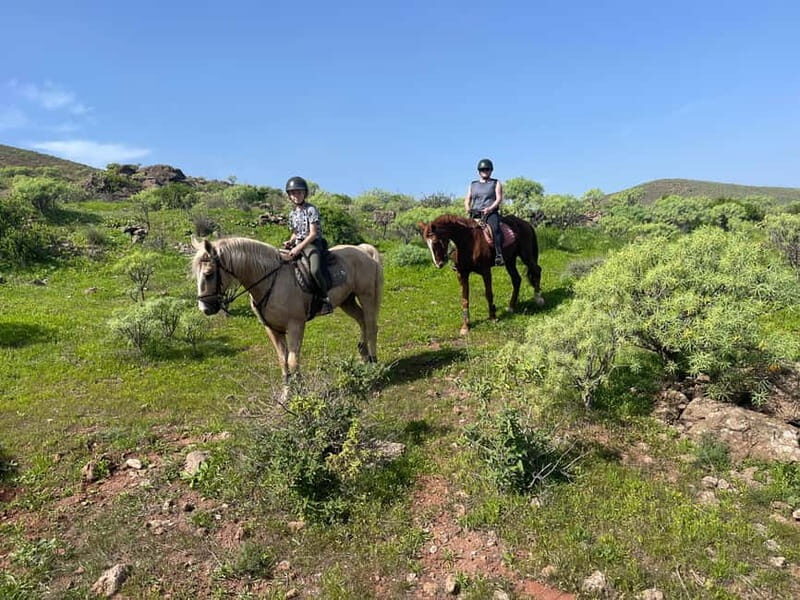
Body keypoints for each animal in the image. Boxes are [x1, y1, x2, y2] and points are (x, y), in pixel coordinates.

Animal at [191, 236, 383, 384]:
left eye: (209, 274)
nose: (205, 308)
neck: (271, 281)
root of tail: (363, 249)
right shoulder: (272, 329)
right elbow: (282, 361)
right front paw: (287, 393)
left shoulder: (295, 326)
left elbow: (292, 361)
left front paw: (300, 391)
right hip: (347, 300)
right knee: (362, 320)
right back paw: (364, 354)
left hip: (366, 296)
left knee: (371, 326)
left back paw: (373, 362)